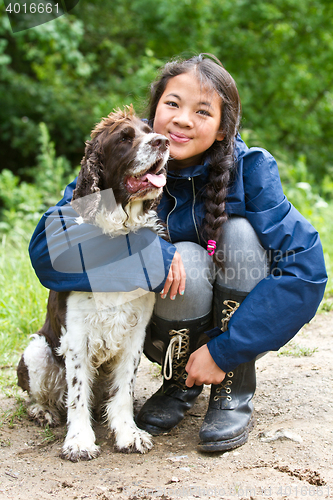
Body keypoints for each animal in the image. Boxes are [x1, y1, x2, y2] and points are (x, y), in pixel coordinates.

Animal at [17, 107, 169, 462]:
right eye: (124, 139)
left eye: (149, 131)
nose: (163, 141)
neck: (118, 238)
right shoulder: (76, 335)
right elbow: (76, 395)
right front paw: (79, 441)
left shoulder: (135, 332)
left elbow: (124, 389)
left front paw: (128, 433)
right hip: (36, 350)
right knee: (38, 396)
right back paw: (43, 412)